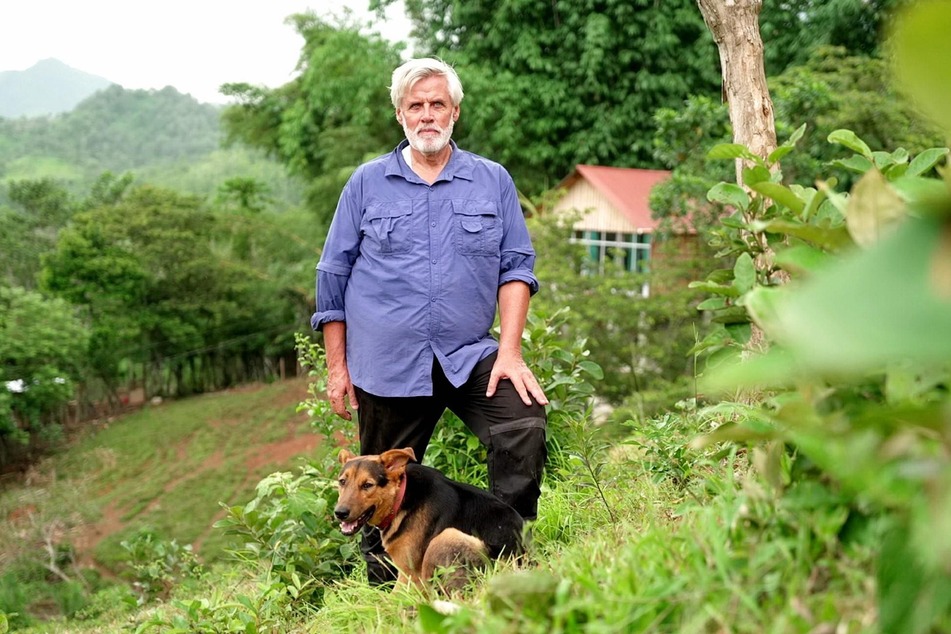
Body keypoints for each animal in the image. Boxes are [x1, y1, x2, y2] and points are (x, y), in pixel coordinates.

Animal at [334, 444, 528, 588]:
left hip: (445, 537)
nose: (340, 513)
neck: (401, 498)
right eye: (342, 482)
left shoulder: (408, 573)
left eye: (367, 485)